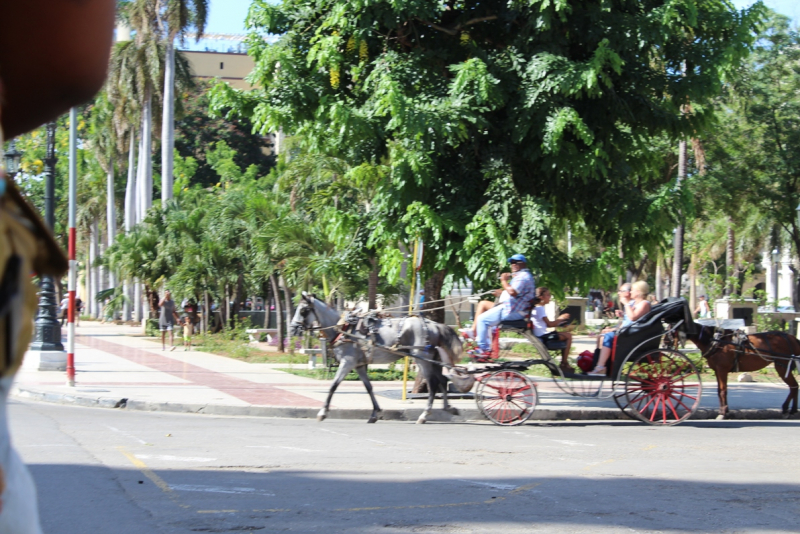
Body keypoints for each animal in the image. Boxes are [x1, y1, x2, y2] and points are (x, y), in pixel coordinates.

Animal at [290, 296, 462, 426]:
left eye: (304, 310)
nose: (292, 329)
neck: (344, 329)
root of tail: (433, 325)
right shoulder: (359, 365)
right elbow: (369, 388)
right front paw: (375, 413)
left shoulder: (347, 362)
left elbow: (333, 386)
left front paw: (322, 412)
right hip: (433, 359)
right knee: (442, 380)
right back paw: (448, 408)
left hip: (422, 359)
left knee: (433, 384)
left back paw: (424, 415)